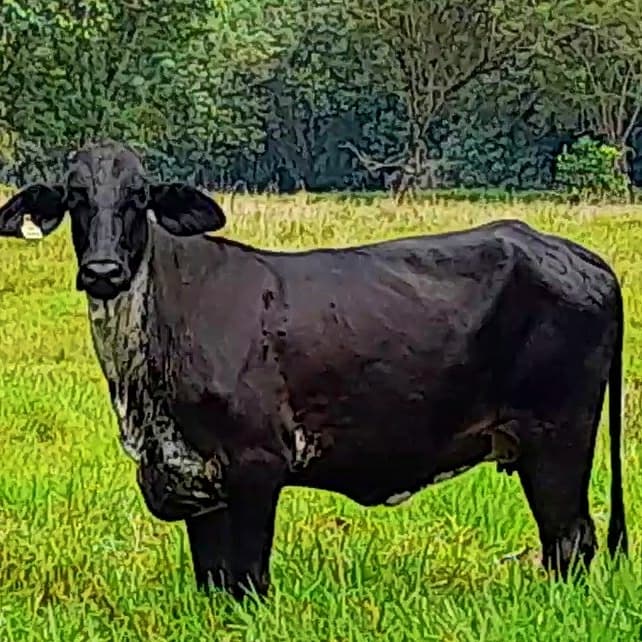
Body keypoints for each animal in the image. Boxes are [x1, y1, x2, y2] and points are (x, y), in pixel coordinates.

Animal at [0, 140, 628, 599]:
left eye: (138, 197)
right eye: (76, 197)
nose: (103, 270)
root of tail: (580, 257)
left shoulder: (257, 464)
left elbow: (248, 581)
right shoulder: (194, 480)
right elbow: (213, 583)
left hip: (559, 438)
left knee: (572, 541)